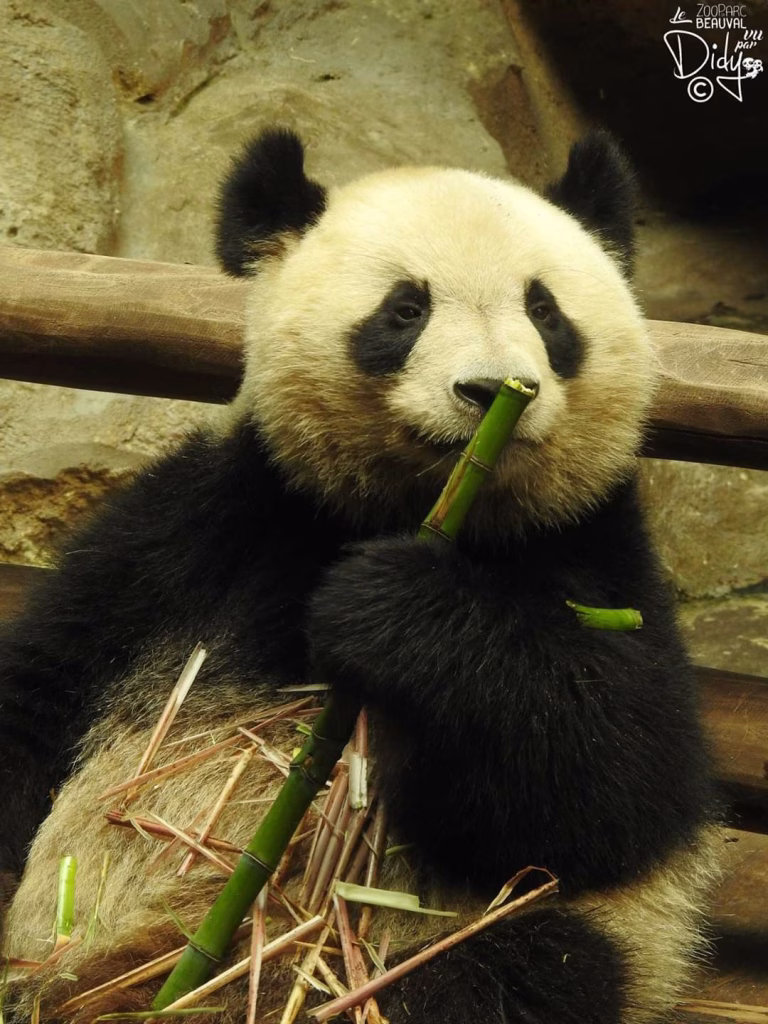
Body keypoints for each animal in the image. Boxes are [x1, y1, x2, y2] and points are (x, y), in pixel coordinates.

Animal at [0, 128, 719, 1024]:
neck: (416, 506)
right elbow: (42, 687)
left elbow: (622, 782)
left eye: (546, 311)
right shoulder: (206, 520)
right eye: (405, 309)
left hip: (553, 942)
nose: (492, 390)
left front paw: (391, 607)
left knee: (515, 969)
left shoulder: (590, 548)